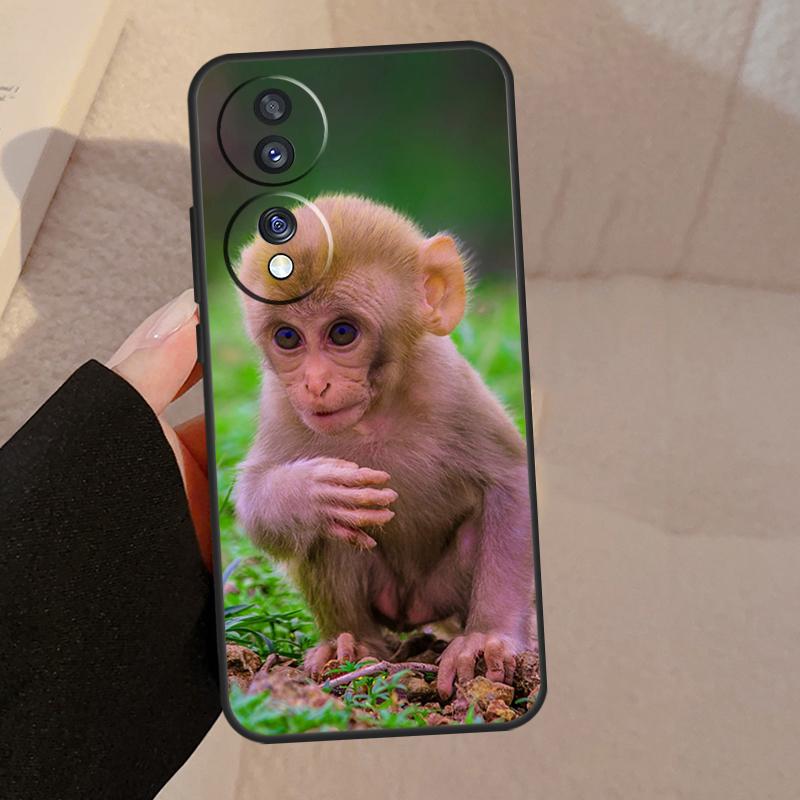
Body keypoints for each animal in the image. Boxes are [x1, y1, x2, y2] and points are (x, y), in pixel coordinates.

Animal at [233, 195, 537, 699]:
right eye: (288, 337)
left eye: (341, 333)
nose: (315, 384)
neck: (375, 413)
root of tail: (412, 611)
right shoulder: (280, 402)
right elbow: (256, 504)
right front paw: (311, 494)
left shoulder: (449, 382)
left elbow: (510, 483)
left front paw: (488, 637)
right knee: (329, 533)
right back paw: (353, 645)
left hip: (441, 590)